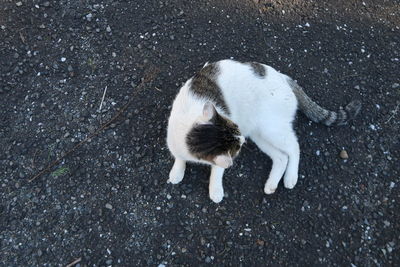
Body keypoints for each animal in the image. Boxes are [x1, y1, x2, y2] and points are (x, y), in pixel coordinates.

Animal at [165, 60, 360, 203]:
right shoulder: (175, 141)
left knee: (294, 147)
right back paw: (271, 184)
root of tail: (282, 77)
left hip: (272, 128)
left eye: (234, 124)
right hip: (259, 135)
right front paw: (177, 171)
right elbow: (179, 157)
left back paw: (291, 177)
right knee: (281, 157)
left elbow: (217, 171)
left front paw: (216, 190)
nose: (242, 138)